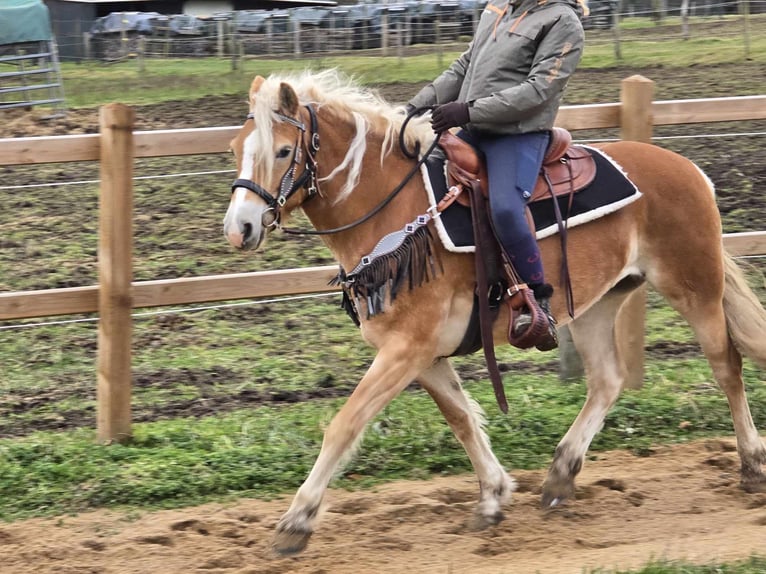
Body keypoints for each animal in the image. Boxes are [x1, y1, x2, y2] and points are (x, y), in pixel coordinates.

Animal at [220, 70, 766, 556]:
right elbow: (462, 418)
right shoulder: (424, 355)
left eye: (284, 151)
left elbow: (345, 423)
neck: (395, 214)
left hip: (694, 288)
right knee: (608, 381)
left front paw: (296, 522)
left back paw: (751, 465)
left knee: (727, 366)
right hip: (595, 305)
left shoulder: (405, 349)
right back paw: (560, 475)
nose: (238, 229)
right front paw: (493, 497)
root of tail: (689, 169)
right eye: (235, 148)